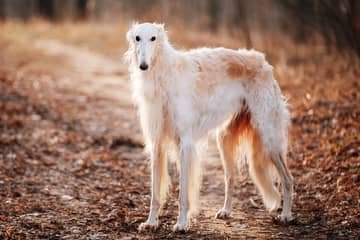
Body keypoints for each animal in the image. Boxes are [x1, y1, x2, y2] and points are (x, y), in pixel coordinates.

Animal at [125, 23, 294, 232]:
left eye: (153, 38)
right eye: (137, 38)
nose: (143, 66)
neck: (164, 75)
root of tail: (263, 62)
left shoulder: (185, 144)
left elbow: (183, 194)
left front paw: (181, 224)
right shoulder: (157, 143)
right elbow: (155, 193)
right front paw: (150, 222)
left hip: (269, 137)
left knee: (288, 179)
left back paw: (286, 215)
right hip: (225, 139)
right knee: (231, 178)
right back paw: (226, 210)